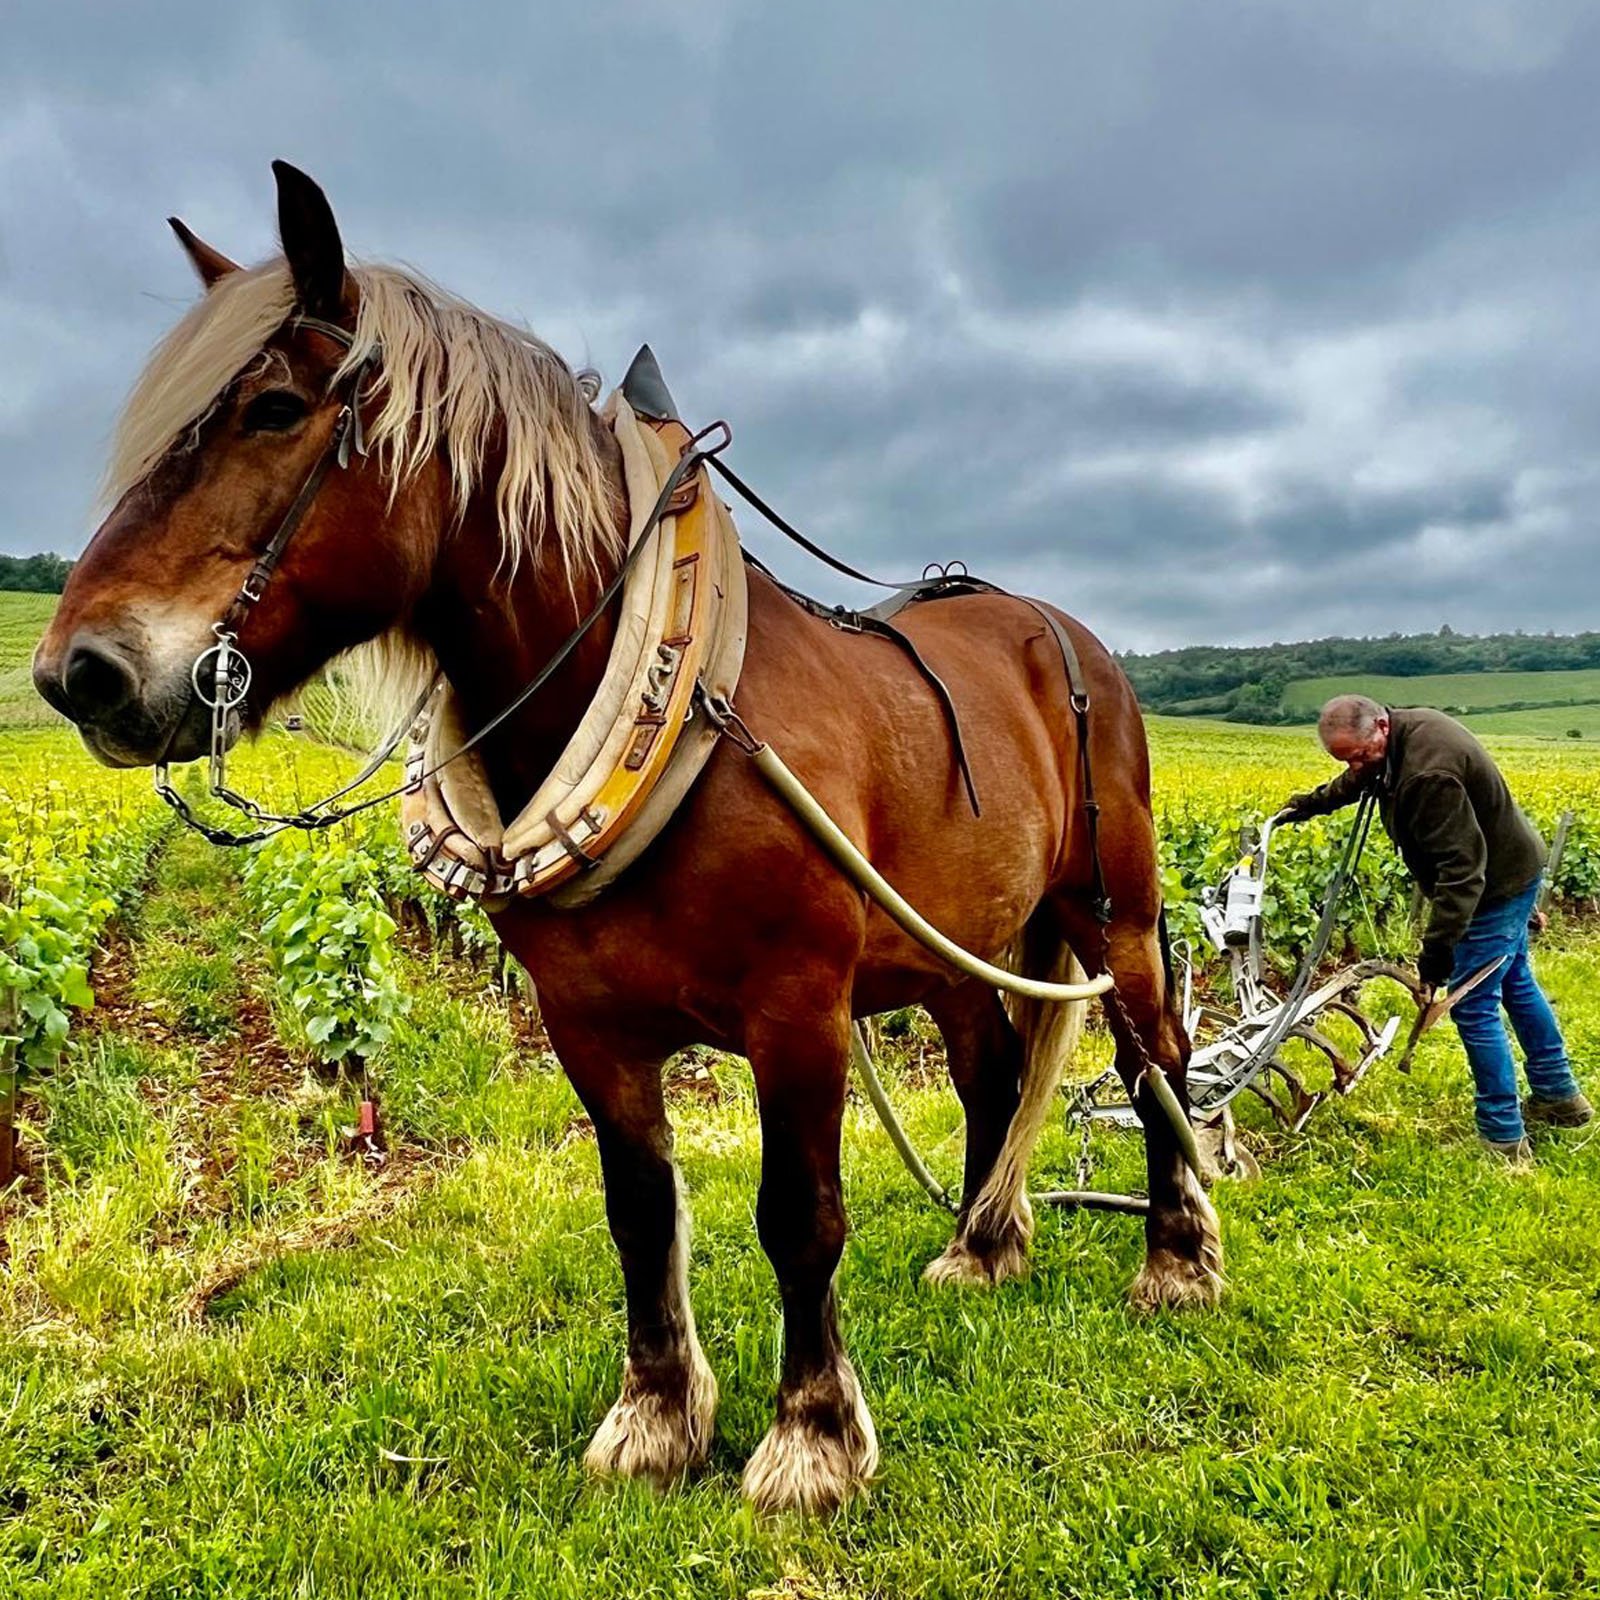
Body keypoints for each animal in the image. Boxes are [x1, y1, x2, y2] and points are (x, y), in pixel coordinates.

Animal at [34, 162, 1222, 1514]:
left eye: (275, 408)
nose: (79, 673)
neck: (673, 714)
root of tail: (1065, 637)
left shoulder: (798, 1012)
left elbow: (798, 1215)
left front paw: (812, 1437)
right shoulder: (587, 1025)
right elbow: (638, 1210)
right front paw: (656, 1419)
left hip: (1115, 913)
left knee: (1153, 1060)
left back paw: (1176, 1257)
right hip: (956, 947)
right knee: (993, 1074)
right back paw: (981, 1245)